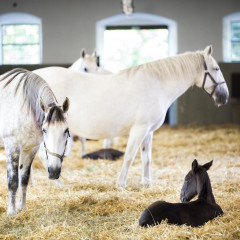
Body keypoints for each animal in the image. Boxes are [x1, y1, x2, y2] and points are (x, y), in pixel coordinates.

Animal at [0, 68, 70, 215]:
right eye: (44, 130)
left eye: (66, 130)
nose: (54, 172)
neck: (24, 108)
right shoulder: (12, 146)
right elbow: (12, 180)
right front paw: (12, 211)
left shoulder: (31, 149)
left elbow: (24, 179)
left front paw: (22, 207)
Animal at [33, 45, 229, 188]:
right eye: (216, 68)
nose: (224, 97)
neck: (156, 84)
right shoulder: (139, 129)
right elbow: (129, 156)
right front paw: (121, 184)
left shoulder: (148, 131)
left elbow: (146, 158)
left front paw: (147, 183)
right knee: (41, 155)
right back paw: (59, 183)